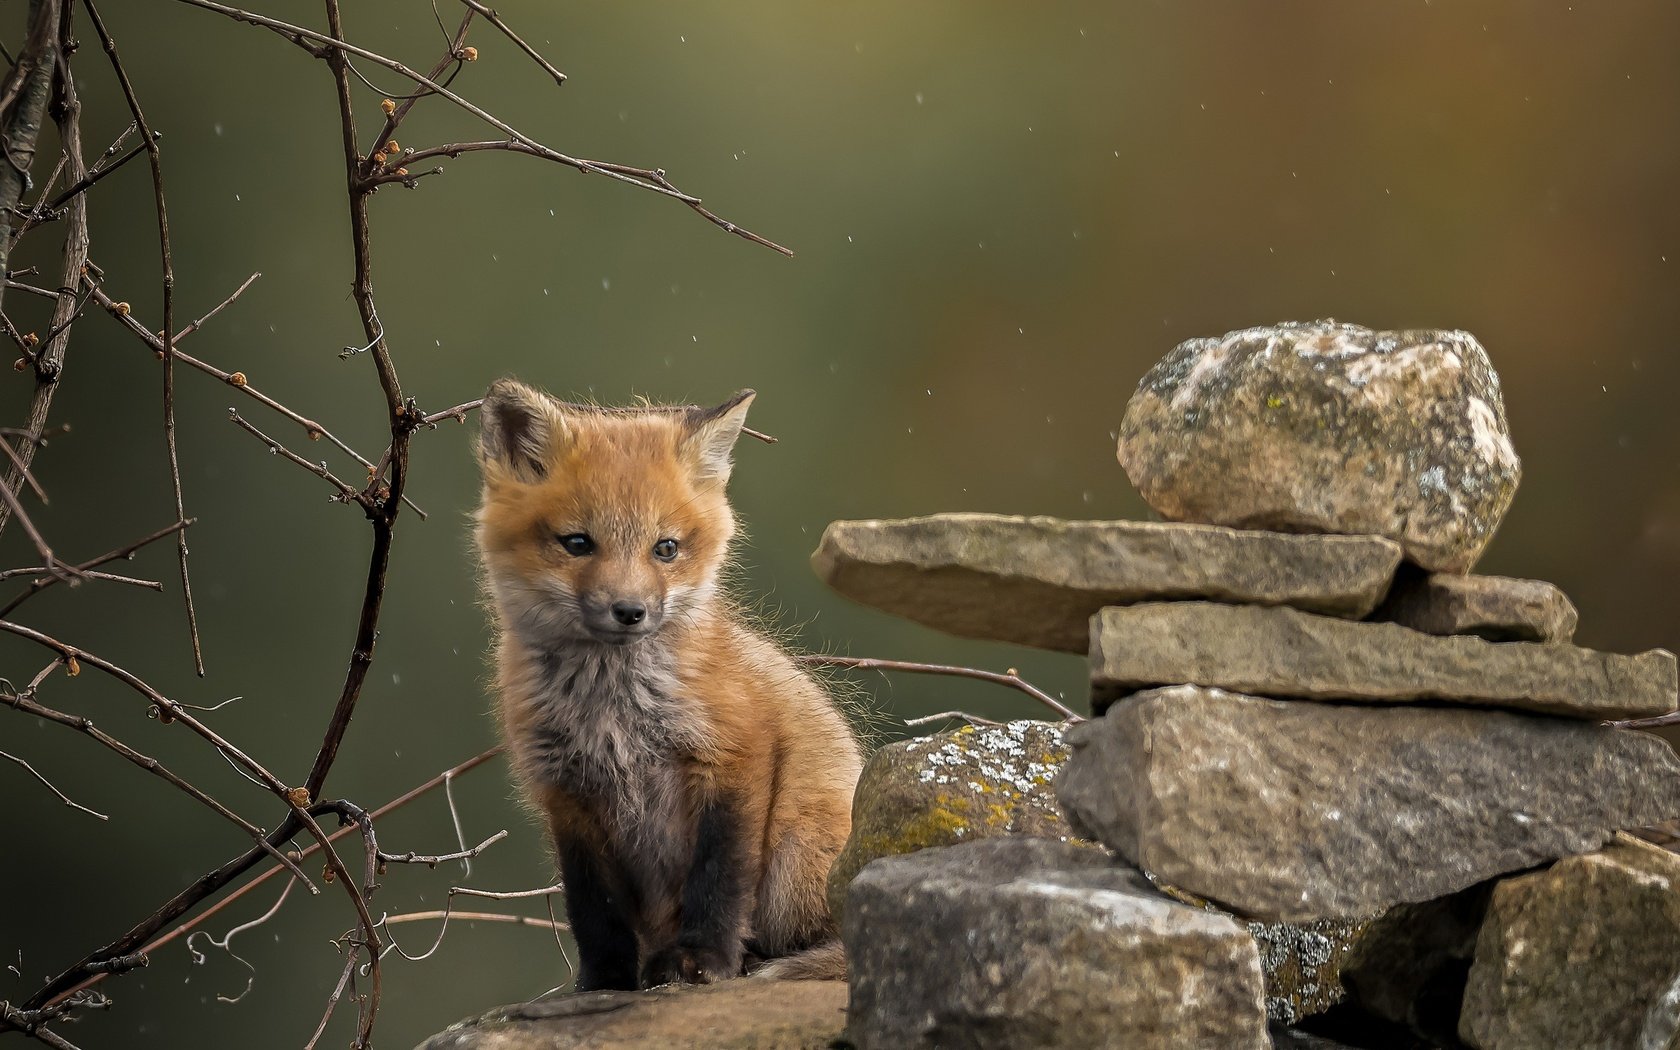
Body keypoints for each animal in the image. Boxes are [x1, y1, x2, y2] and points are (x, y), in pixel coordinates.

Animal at [477, 381, 860, 987]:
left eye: (666, 548)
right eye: (577, 543)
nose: (629, 611)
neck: (612, 712)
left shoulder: (732, 754)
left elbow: (719, 877)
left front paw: (704, 959)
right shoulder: (565, 793)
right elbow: (595, 911)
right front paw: (604, 982)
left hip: (795, 852)